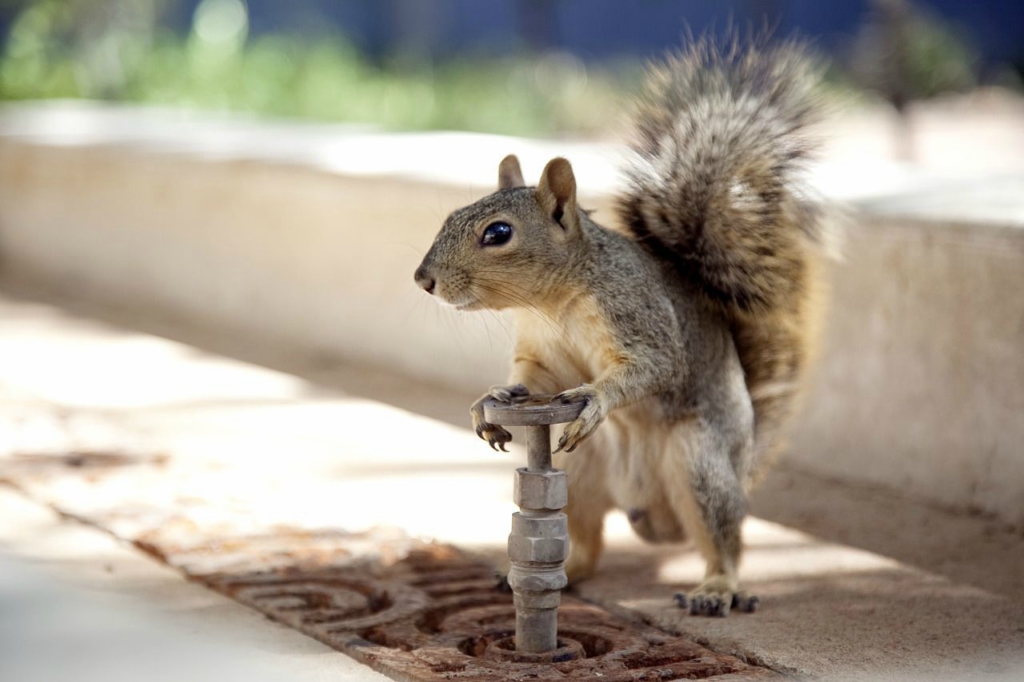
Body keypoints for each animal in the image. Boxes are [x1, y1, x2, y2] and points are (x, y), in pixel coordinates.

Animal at [411, 41, 827, 614]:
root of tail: (647, 510)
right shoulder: (540, 352)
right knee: (584, 541)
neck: (552, 303)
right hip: (582, 472)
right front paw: (492, 398)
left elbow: (655, 364)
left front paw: (597, 398)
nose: (422, 279)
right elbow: (534, 379)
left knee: (724, 538)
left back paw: (716, 588)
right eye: (452, 215)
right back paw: (565, 573)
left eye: (498, 233)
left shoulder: (636, 312)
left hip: (698, 463)